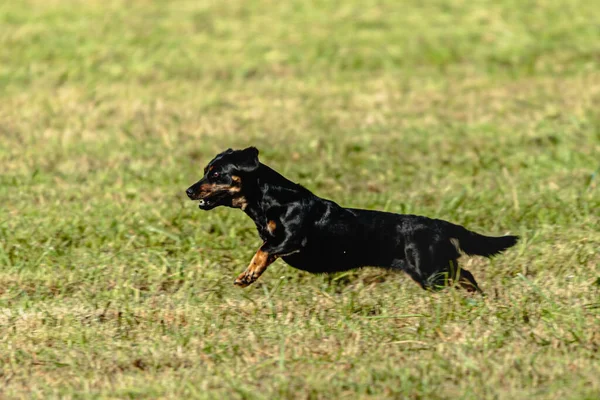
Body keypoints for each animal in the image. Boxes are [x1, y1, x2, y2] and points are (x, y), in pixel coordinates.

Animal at [185, 148, 516, 292]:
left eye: (216, 173)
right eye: (205, 171)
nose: (188, 190)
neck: (271, 200)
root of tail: (439, 224)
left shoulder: (292, 240)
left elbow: (263, 250)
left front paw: (247, 276)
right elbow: (264, 248)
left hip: (430, 272)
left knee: (465, 276)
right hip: (435, 268)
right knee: (468, 275)